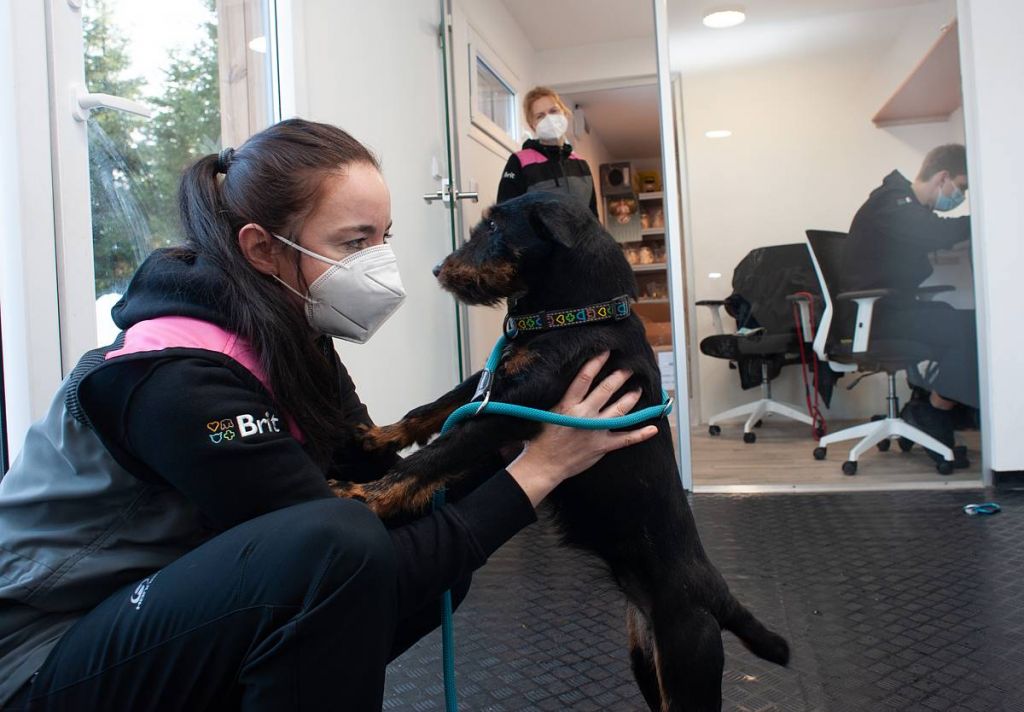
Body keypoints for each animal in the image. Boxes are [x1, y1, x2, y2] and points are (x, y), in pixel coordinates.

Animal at [336, 192, 790, 711]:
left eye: (495, 227)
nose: (437, 269)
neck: (581, 313)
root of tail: (716, 593)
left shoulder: (513, 407)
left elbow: (436, 456)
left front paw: (364, 496)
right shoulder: (492, 384)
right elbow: (434, 408)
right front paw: (380, 436)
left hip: (688, 663)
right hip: (645, 655)